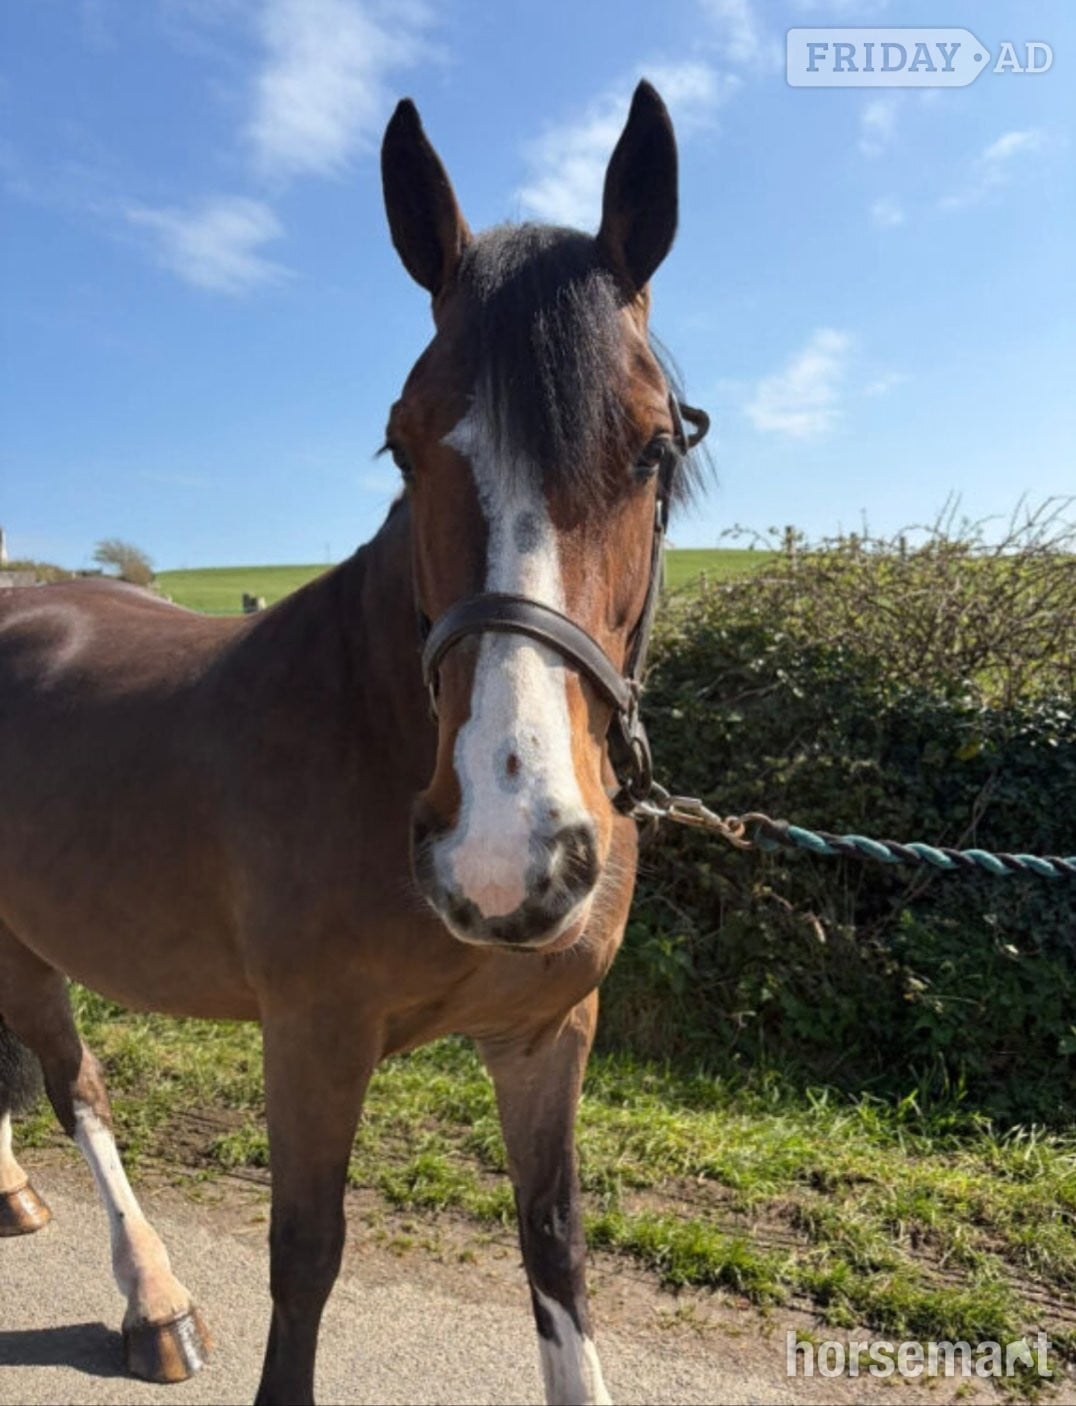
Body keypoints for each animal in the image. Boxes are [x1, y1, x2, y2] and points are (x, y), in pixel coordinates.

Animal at [0, 81, 707, 1405]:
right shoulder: (314, 1038)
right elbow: (306, 1257)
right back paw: (154, 1298)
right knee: (75, 1083)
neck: (376, 721)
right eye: (402, 441)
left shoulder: (545, 1034)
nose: (502, 855)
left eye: (650, 446)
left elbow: (556, 1249)